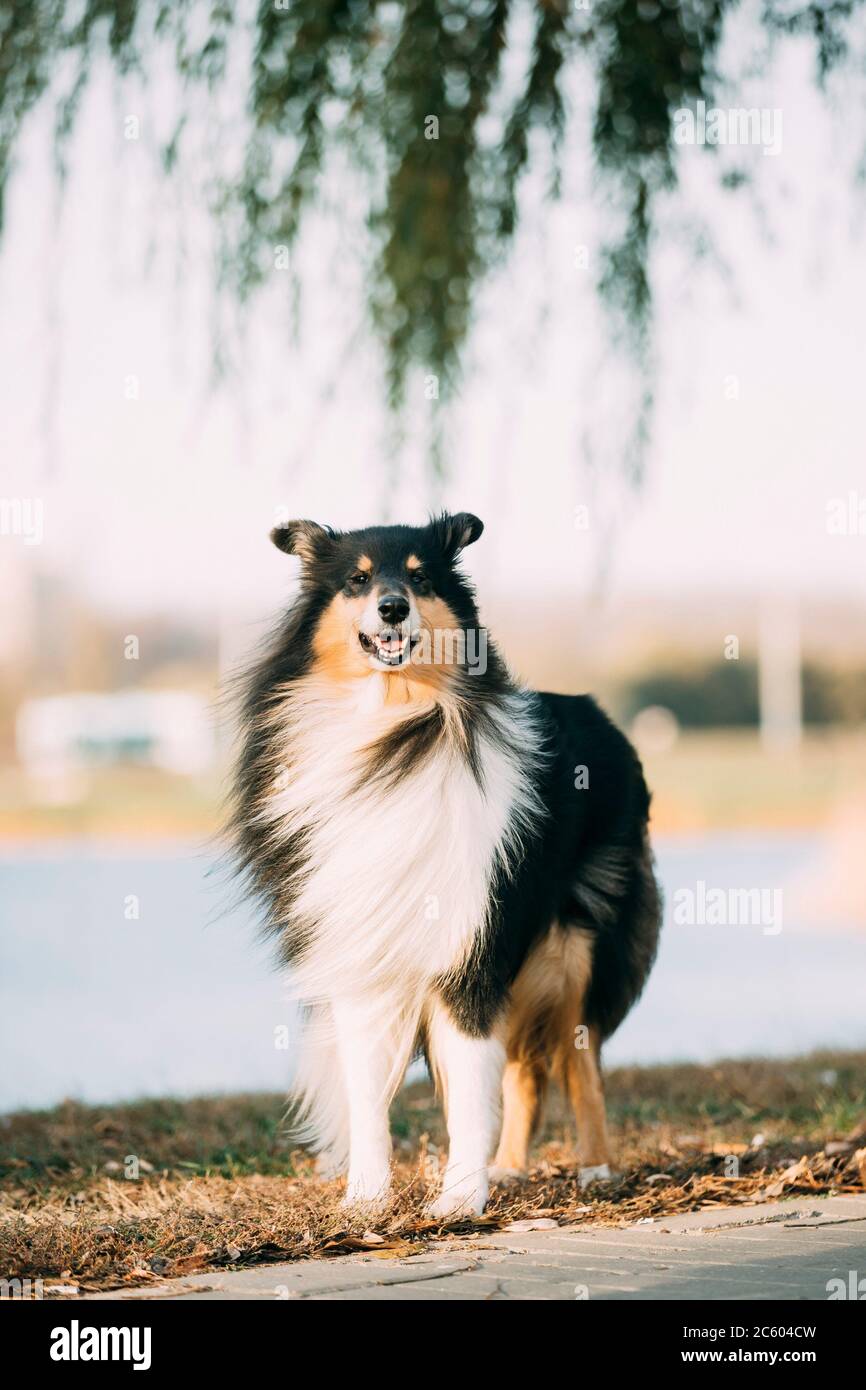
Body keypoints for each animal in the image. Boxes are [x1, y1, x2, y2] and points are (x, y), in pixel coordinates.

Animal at [232, 514, 664, 1217]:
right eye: (357, 580)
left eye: (421, 577)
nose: (392, 608)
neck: (391, 728)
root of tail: (600, 713)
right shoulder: (364, 955)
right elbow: (369, 1093)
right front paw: (366, 1200)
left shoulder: (470, 946)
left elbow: (467, 1085)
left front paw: (460, 1199)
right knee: (524, 1069)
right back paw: (511, 1168)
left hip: (574, 944)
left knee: (577, 1061)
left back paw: (597, 1168)